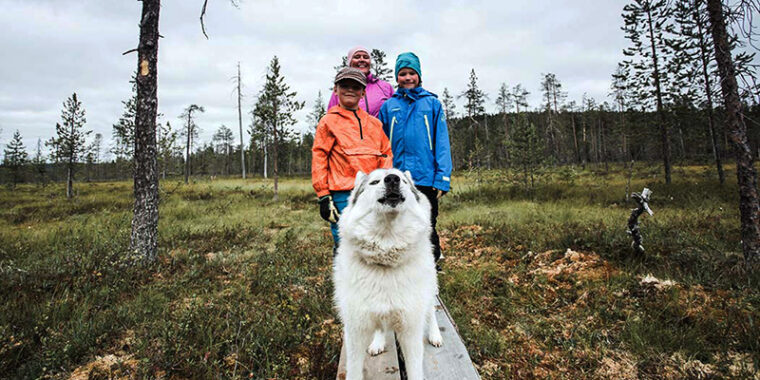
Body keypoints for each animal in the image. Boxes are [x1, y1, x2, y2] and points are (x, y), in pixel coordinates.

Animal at [334, 168, 446, 380]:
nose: (392, 179)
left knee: (431, 310)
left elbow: (415, 370)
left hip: (428, 289)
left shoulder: (410, 331)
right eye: (374, 182)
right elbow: (353, 370)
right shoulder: (355, 332)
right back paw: (377, 342)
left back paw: (435, 335)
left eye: (401, 179)